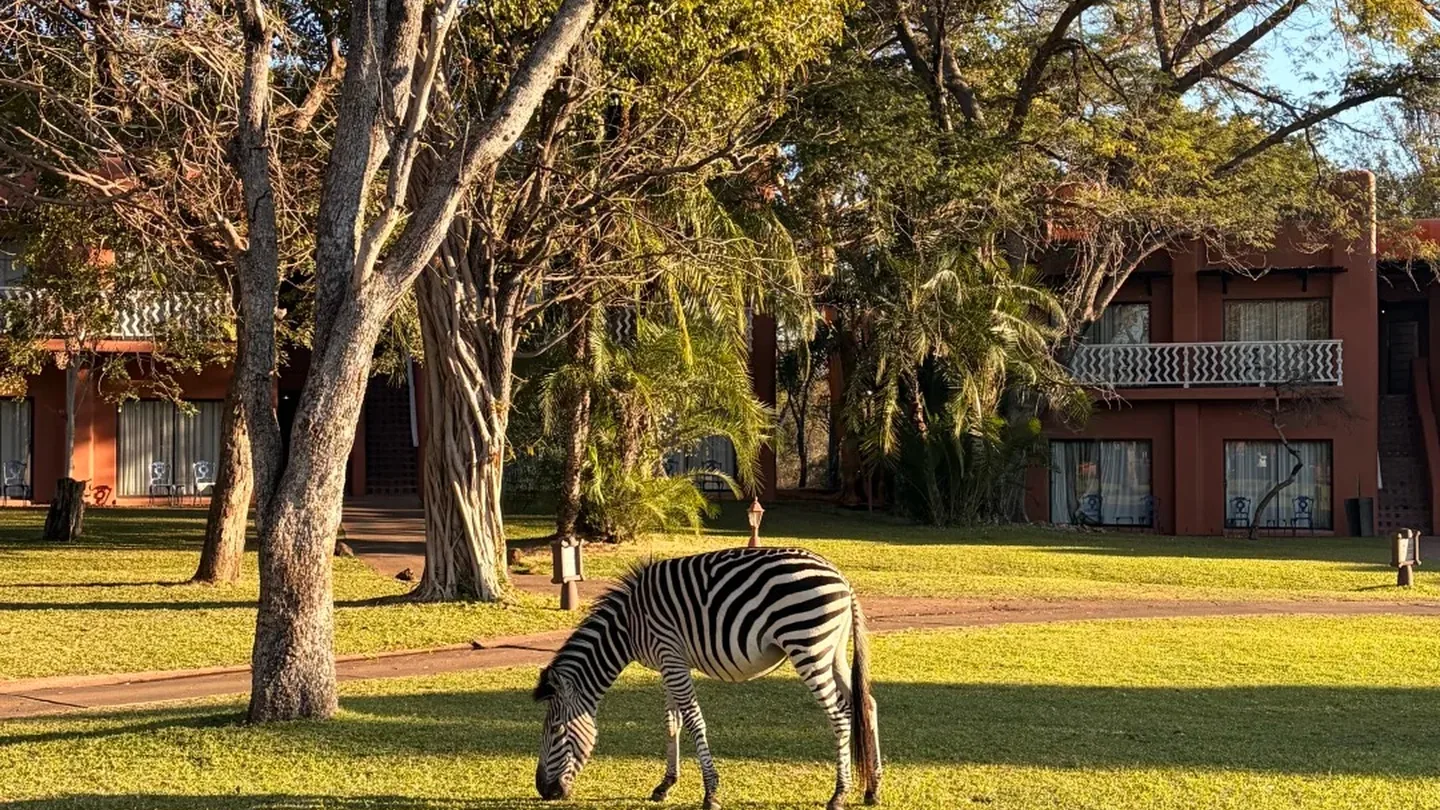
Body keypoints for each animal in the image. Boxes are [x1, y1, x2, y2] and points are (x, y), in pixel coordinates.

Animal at [533, 546, 882, 810]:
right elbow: (671, 722)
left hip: (808, 648)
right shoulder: (669, 662)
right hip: (831, 650)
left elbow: (693, 721)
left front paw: (711, 793)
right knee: (866, 704)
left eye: (555, 729)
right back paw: (872, 789)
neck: (628, 626)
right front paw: (665, 785)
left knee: (840, 714)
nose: (543, 790)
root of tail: (842, 579)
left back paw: (839, 794)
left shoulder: (670, 655)